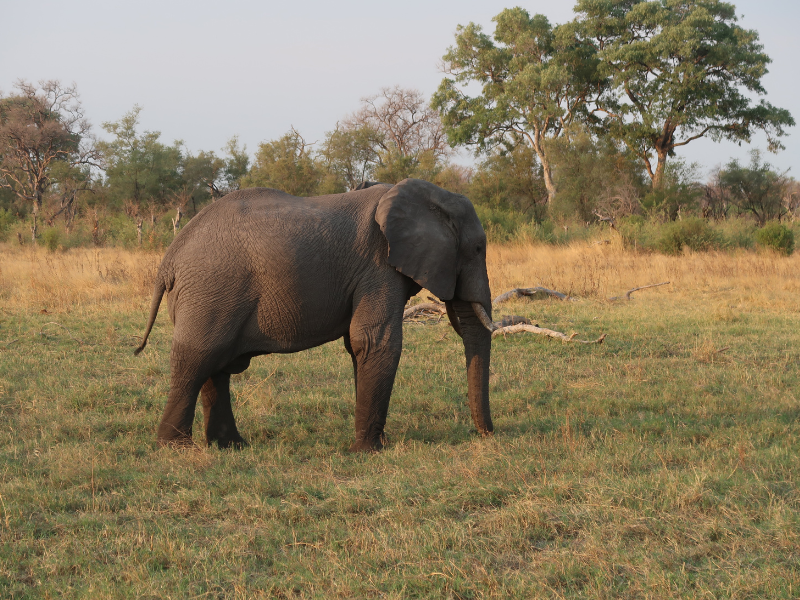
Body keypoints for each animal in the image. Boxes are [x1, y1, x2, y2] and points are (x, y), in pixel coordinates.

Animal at [134, 178, 495, 451]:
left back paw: (231, 447)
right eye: (478, 248)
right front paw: (368, 450)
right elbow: (375, 341)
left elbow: (357, 346)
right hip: (210, 291)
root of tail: (169, 259)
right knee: (197, 359)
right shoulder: (378, 267)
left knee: (215, 365)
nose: (488, 435)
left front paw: (372, 443)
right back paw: (176, 448)